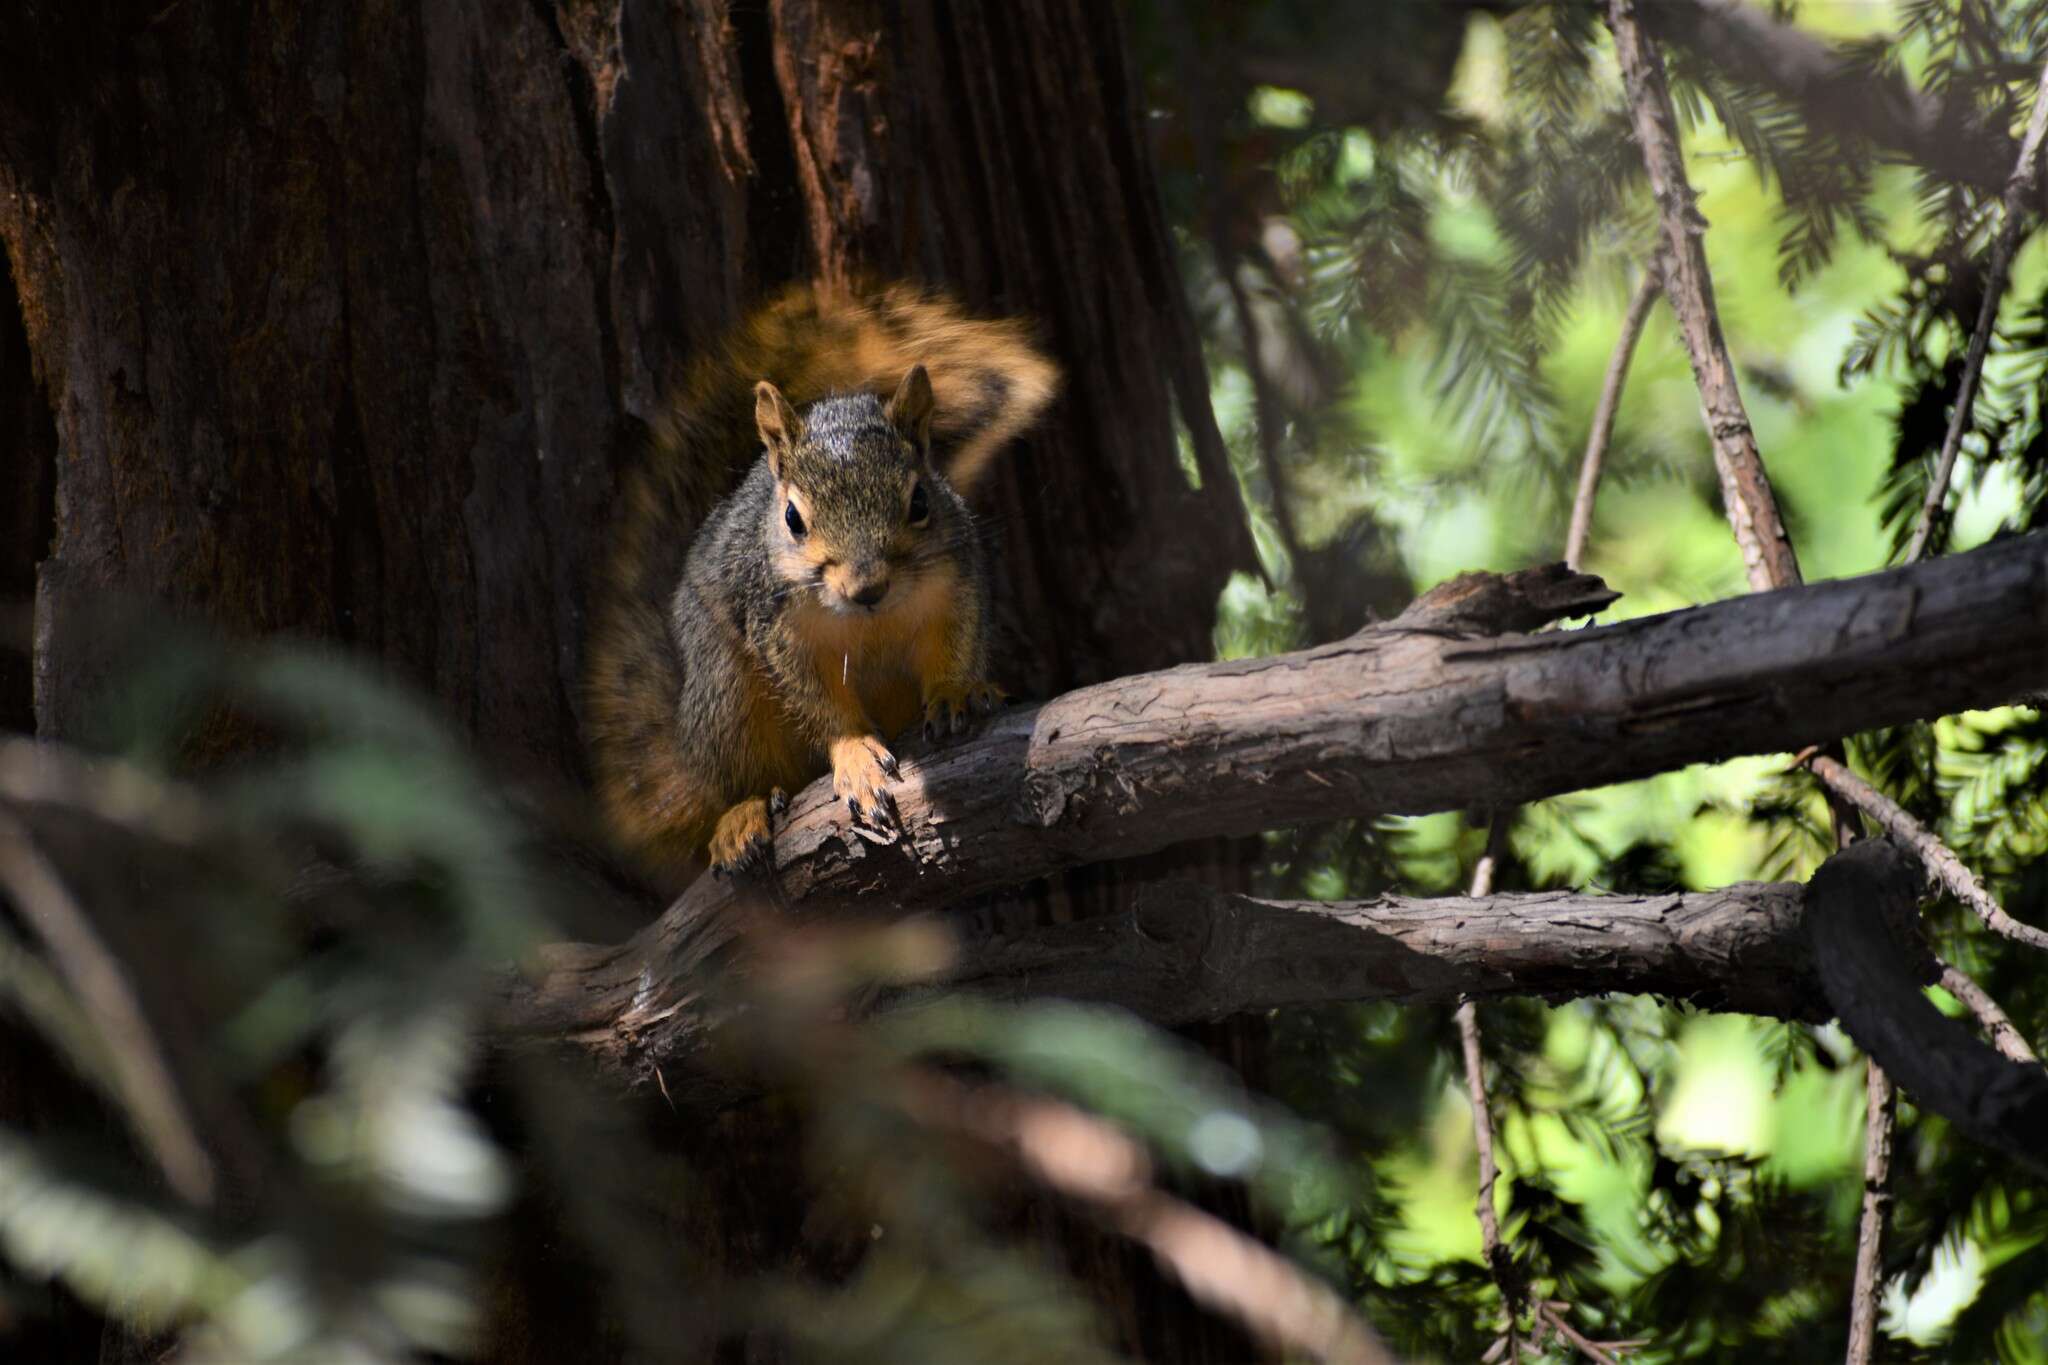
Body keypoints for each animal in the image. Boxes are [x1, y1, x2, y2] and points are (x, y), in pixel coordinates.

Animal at [577, 286, 1056, 888]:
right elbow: (816, 698)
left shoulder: (956, 577)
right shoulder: (776, 625)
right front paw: (854, 756)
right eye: (792, 519)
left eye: (920, 501)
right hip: (725, 696)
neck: (870, 620)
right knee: (735, 777)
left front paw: (957, 690)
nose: (866, 588)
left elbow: (959, 639)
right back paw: (741, 815)